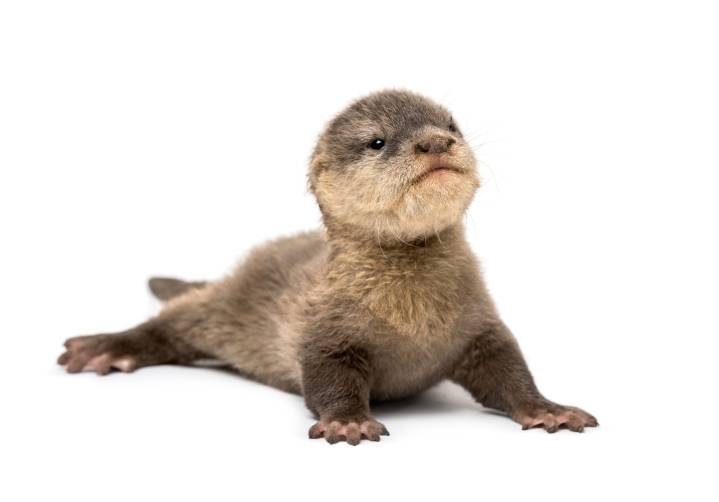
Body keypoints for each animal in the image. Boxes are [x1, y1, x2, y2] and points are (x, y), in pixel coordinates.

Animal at [58, 90, 597, 444]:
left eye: (451, 125)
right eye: (377, 141)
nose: (435, 143)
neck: (412, 318)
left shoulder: (479, 323)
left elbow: (509, 371)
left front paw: (549, 410)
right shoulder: (323, 323)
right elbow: (326, 375)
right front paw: (348, 421)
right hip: (224, 304)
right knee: (172, 322)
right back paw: (105, 348)